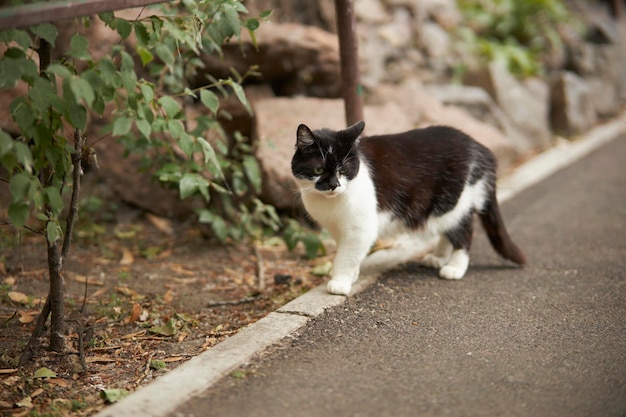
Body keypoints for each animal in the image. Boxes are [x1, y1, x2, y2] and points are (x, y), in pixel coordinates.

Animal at [290, 119, 524, 296]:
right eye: (318, 170)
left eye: (343, 170)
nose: (333, 185)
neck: (329, 202)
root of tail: (480, 147)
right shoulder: (340, 230)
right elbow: (347, 251)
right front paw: (352, 275)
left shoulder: (360, 228)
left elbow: (346, 255)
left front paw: (340, 281)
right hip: (443, 209)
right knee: (448, 229)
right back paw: (438, 257)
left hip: (453, 201)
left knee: (464, 231)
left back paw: (454, 267)